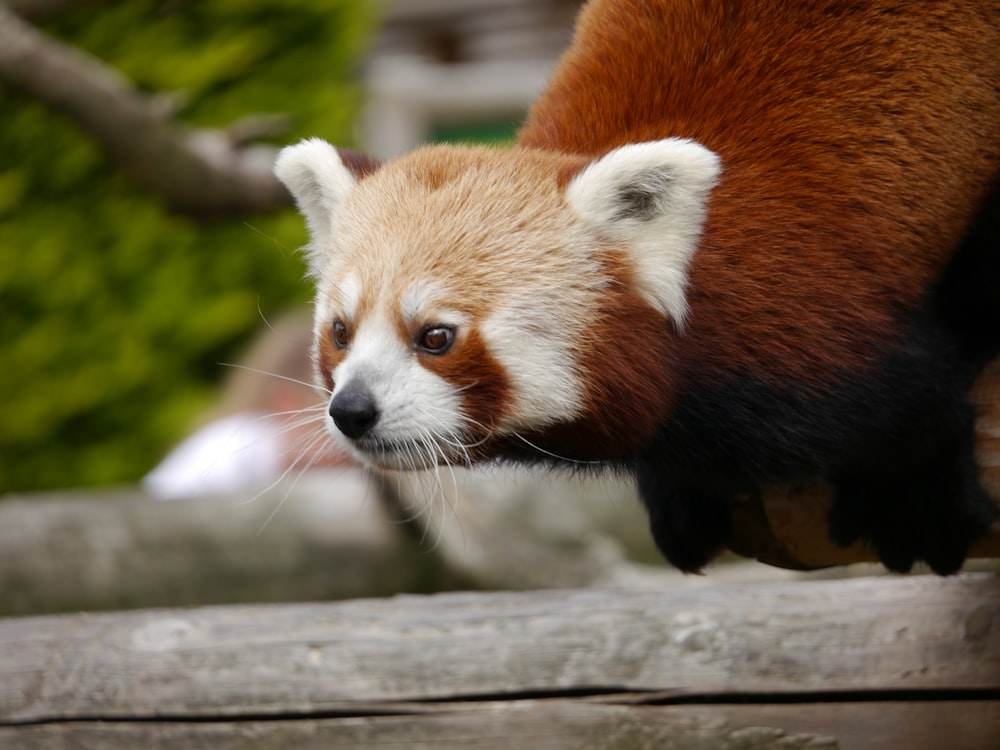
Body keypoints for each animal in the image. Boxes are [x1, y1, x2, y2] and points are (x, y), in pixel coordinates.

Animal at [278, 0, 1000, 576]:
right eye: (340, 332)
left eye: (436, 336)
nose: (352, 410)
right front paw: (682, 501)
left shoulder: (820, 312)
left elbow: (913, 402)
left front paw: (920, 506)